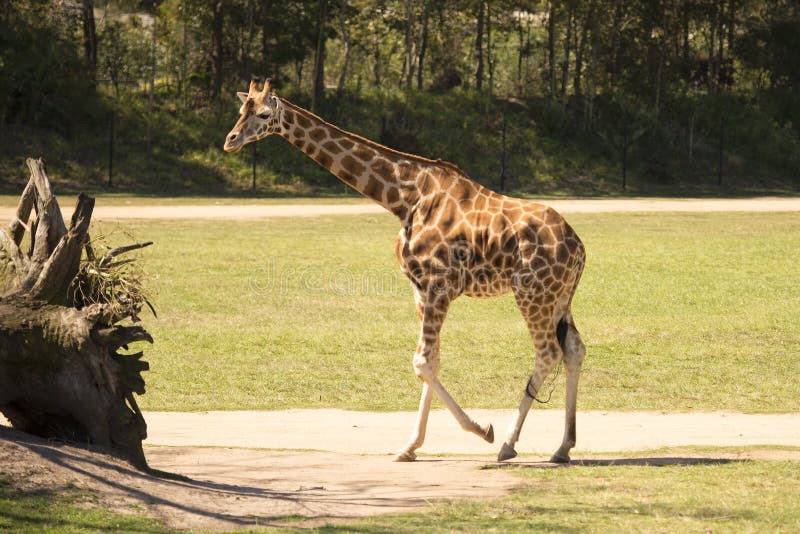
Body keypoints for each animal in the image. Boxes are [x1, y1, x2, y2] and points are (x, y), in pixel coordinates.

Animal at [224, 80, 586, 463]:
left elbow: (422, 362)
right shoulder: (420, 289)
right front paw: (409, 446)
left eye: (265, 114)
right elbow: (433, 361)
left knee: (549, 353)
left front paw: (481, 430)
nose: (230, 140)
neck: (403, 198)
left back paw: (507, 443)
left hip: (532, 293)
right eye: (241, 111)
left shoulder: (438, 285)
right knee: (574, 349)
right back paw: (562, 447)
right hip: (559, 298)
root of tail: (579, 248)